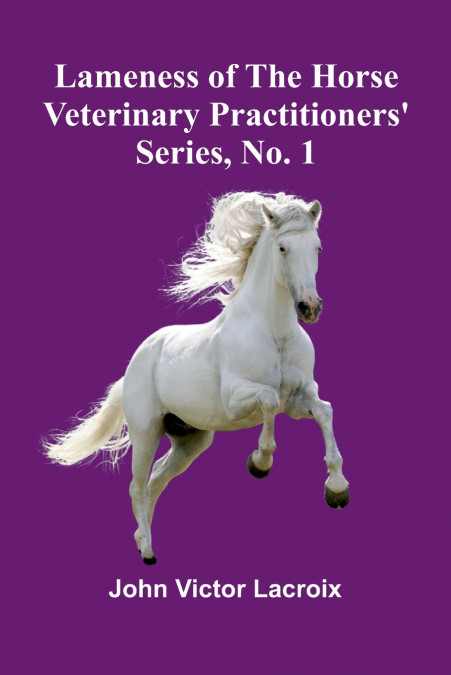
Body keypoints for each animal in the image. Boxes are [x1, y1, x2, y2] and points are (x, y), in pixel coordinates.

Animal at [44, 191, 349, 565]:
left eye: (317, 247)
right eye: (282, 248)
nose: (309, 307)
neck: (274, 333)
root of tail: (135, 362)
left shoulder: (299, 397)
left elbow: (324, 411)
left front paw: (337, 491)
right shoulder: (237, 399)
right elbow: (268, 399)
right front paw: (260, 463)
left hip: (190, 440)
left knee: (156, 481)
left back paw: (140, 538)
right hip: (146, 431)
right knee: (137, 486)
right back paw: (147, 551)